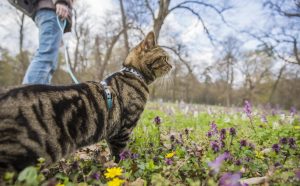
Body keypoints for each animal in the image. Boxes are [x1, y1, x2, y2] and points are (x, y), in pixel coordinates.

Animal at [0, 31, 171, 177]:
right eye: (165, 58)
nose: (172, 66)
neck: (134, 73)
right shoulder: (123, 129)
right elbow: (119, 155)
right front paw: (123, 169)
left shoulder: (113, 133)